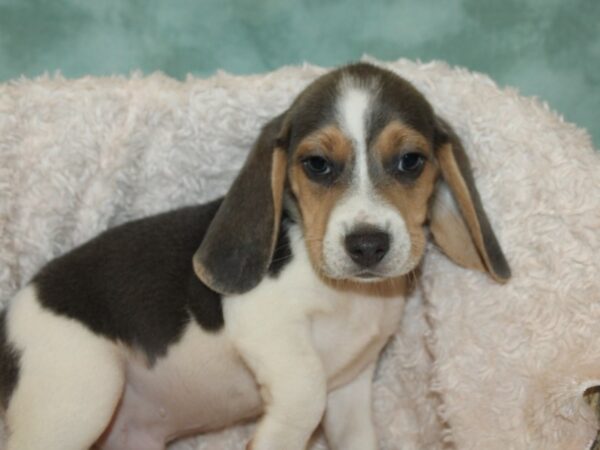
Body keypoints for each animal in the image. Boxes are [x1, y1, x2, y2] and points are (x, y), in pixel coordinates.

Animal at [0, 63, 510, 450]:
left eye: (410, 161)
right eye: (317, 165)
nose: (367, 244)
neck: (346, 294)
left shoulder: (352, 386)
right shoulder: (263, 321)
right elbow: (306, 390)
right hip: (84, 391)